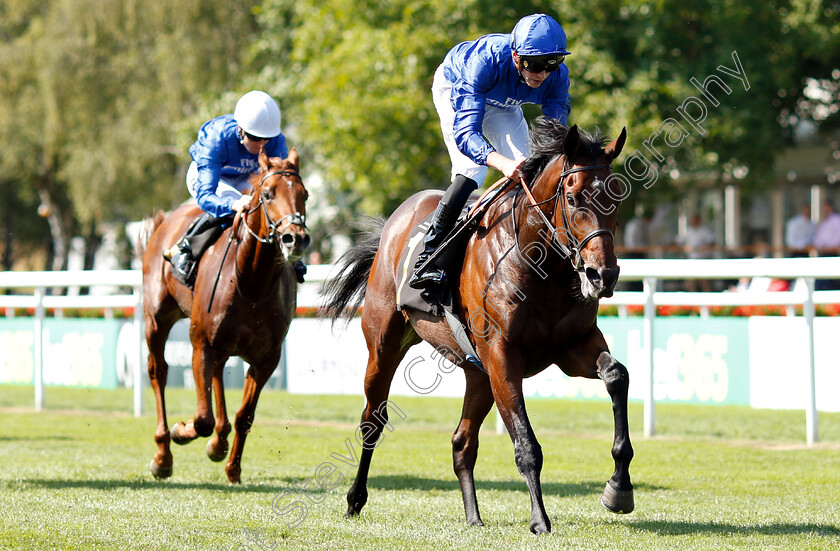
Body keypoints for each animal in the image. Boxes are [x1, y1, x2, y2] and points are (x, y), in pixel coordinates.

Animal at [139, 147, 310, 484]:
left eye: (305, 195)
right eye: (267, 194)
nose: (295, 238)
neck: (251, 283)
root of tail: (165, 220)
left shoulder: (266, 358)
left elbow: (245, 415)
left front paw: (232, 466)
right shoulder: (201, 344)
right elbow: (201, 419)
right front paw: (182, 432)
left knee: (217, 377)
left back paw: (219, 442)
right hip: (156, 319)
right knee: (158, 372)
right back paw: (163, 454)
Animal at [320, 117, 632, 536]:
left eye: (616, 198)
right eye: (573, 197)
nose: (603, 276)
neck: (539, 269)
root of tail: (395, 220)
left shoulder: (574, 347)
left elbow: (617, 375)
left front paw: (619, 488)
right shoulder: (502, 357)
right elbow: (526, 444)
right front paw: (540, 520)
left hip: (478, 373)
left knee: (461, 442)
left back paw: (473, 517)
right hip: (384, 345)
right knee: (373, 419)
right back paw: (355, 499)